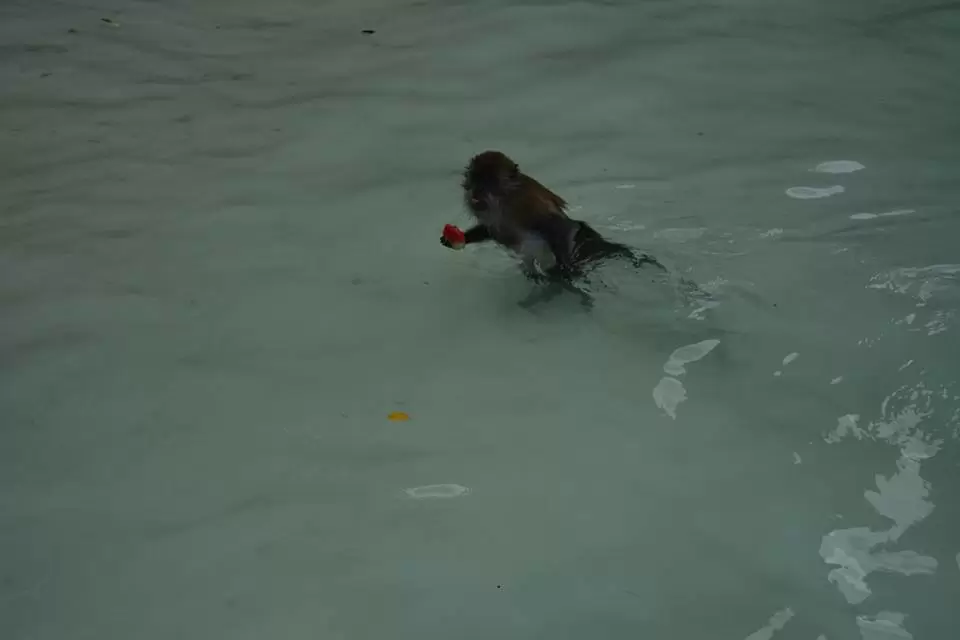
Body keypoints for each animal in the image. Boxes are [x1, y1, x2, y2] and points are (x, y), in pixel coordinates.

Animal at [441, 150, 665, 307]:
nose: (475, 192)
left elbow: (557, 224)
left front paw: (567, 267)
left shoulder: (524, 204)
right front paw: (457, 239)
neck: (503, 199)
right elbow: (492, 229)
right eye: (474, 178)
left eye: (488, 181)